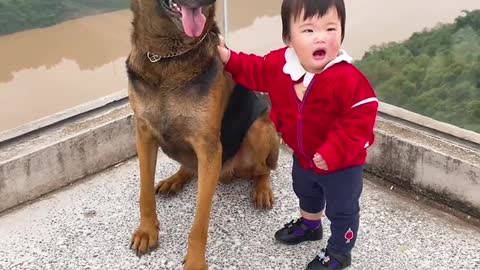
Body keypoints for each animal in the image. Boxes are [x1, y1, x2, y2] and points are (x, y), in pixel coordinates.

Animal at [125, 0, 280, 268]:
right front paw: (147, 231)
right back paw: (175, 179)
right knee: (189, 167)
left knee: (263, 169)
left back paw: (262, 189)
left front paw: (195, 260)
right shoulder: (144, 134)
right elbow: (144, 194)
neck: (167, 57)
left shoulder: (208, 149)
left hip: (257, 131)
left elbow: (199, 222)